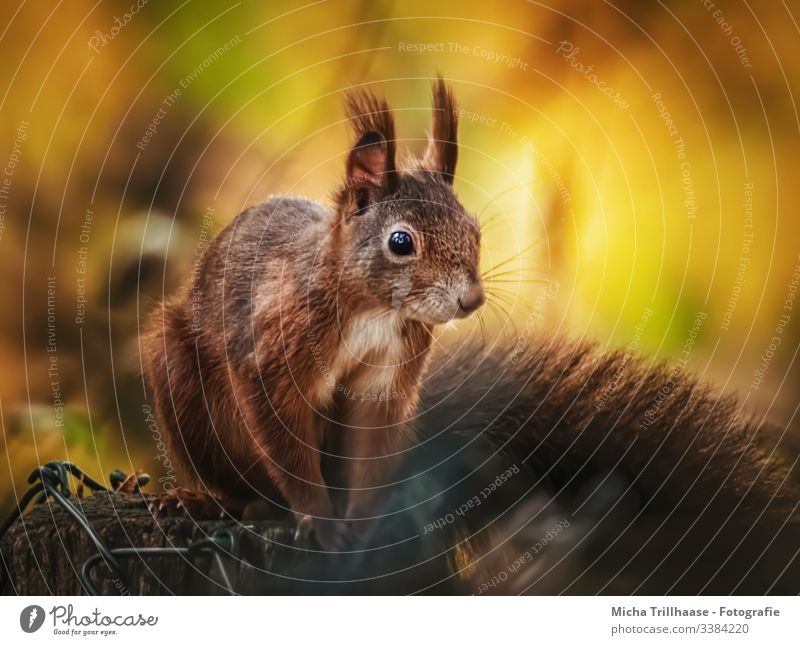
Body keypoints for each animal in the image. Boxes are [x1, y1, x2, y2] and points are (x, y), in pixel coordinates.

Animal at [141, 76, 484, 548]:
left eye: (476, 231)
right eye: (401, 242)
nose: (472, 299)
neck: (375, 310)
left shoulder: (388, 375)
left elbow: (369, 448)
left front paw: (363, 526)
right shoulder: (272, 354)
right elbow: (287, 446)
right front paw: (322, 524)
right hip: (182, 384)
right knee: (244, 485)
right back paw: (211, 502)